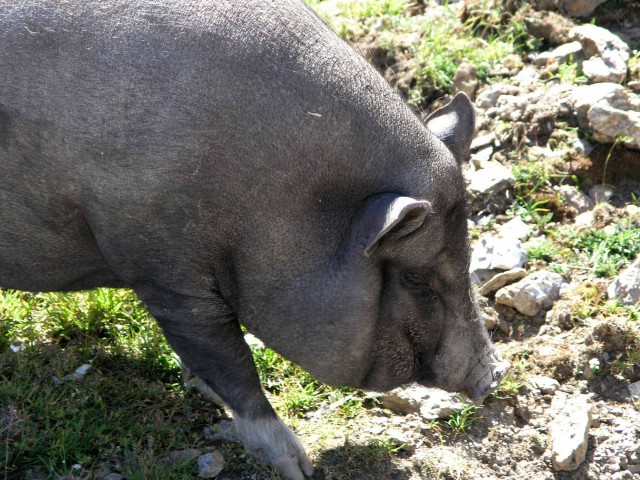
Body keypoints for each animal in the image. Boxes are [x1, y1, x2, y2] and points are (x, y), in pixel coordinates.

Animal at [0, 1, 508, 479]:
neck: (279, 203)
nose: (493, 377)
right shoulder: (165, 274)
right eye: (418, 279)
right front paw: (300, 467)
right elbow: (230, 360)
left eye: (466, 255)